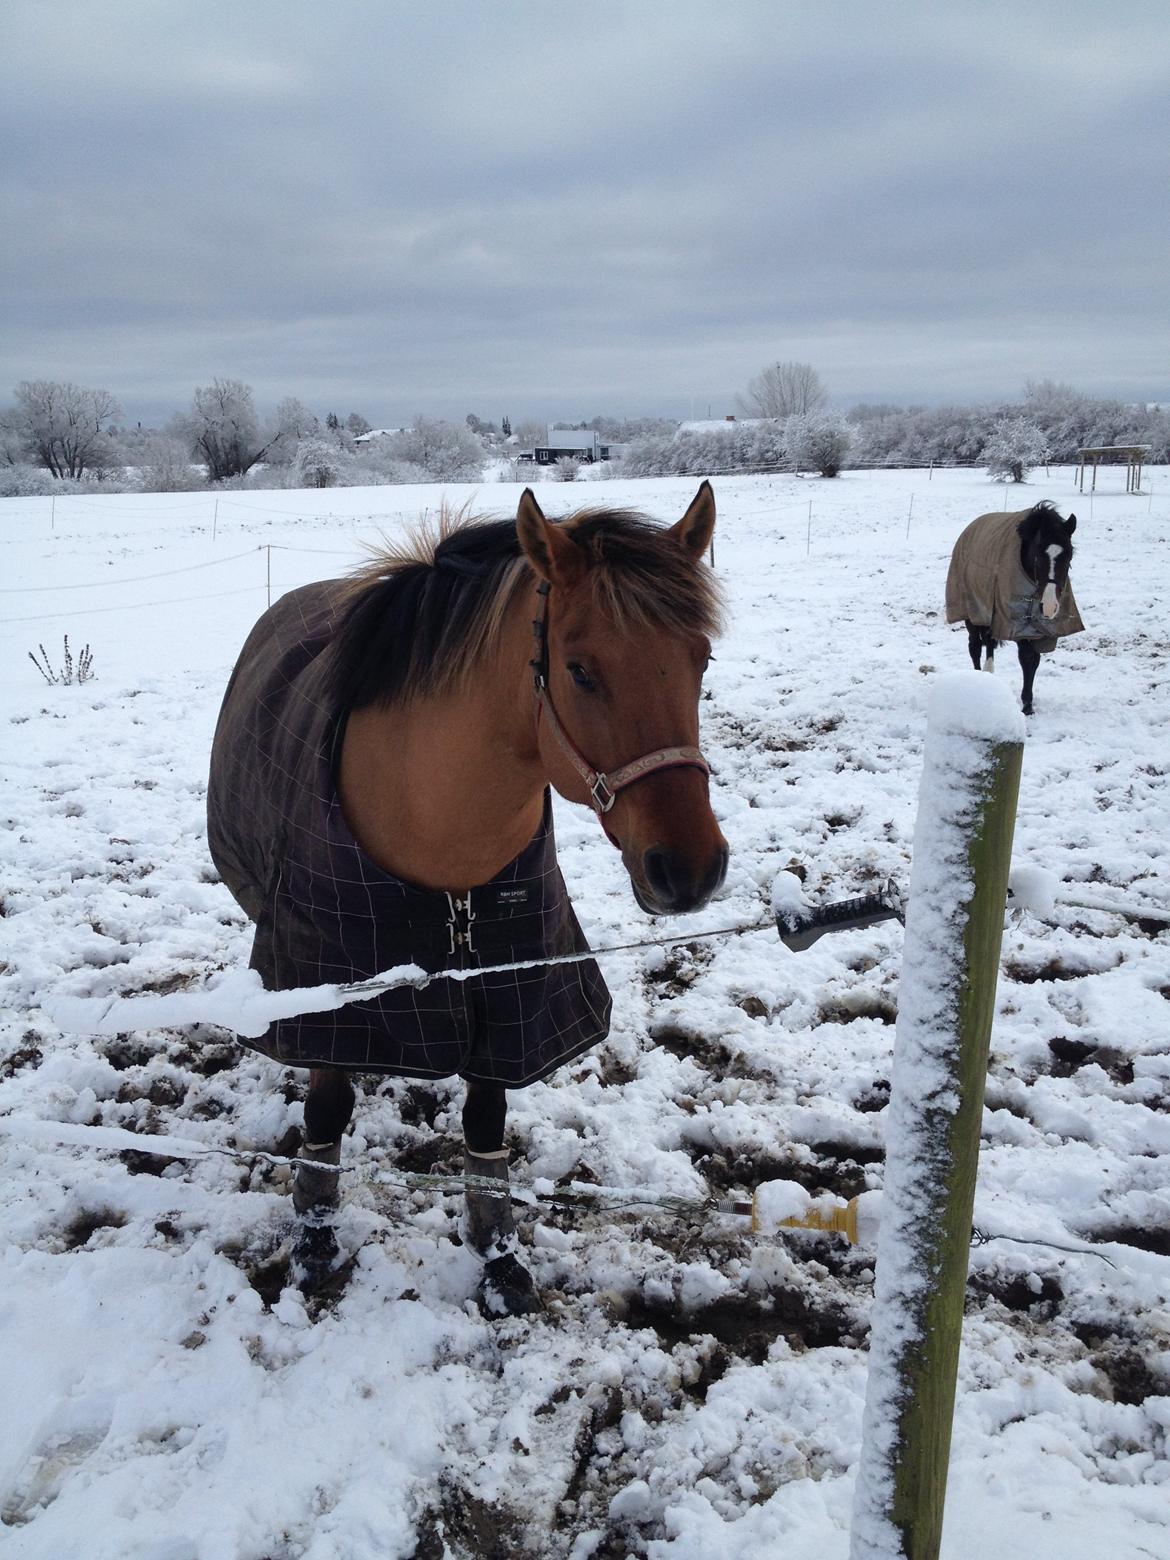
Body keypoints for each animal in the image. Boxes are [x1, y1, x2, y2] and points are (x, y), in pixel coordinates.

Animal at [205, 480, 730, 1310]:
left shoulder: (510, 985)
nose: (691, 868)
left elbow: (486, 1120)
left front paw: (499, 1258)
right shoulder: (329, 985)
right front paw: (315, 1243)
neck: (437, 823)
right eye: (580, 671)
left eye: (700, 660)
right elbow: (326, 1108)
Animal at [948, 502, 1085, 714]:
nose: (1049, 606)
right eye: (1037, 556)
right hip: (971, 613)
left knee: (988, 643)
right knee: (975, 646)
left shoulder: (1035, 627)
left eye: (1069, 556)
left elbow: (1032, 661)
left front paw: (1028, 705)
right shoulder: (1016, 622)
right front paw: (1027, 706)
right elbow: (1026, 658)